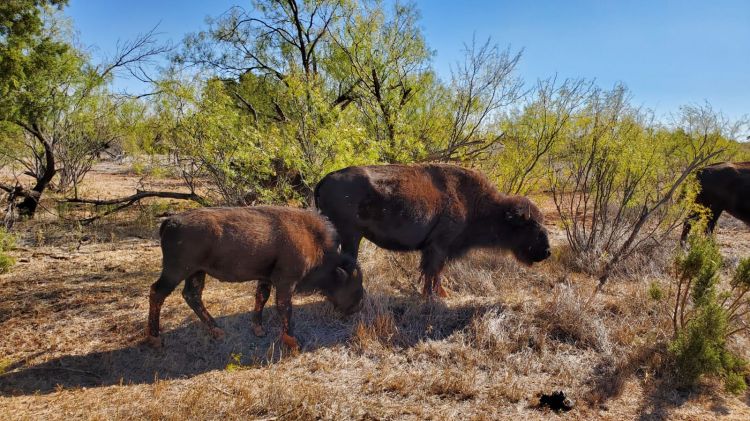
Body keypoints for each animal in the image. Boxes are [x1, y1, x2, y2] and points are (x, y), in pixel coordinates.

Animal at [146, 205, 364, 350]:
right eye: (353, 285)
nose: (357, 307)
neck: (315, 242)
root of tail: (170, 221)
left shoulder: (265, 278)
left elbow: (262, 298)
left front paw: (258, 329)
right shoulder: (286, 282)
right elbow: (284, 308)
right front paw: (293, 342)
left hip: (196, 272)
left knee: (192, 295)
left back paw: (217, 331)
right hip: (176, 271)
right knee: (157, 292)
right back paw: (155, 339)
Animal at [314, 162, 556, 296]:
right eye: (531, 225)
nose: (547, 252)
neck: (475, 203)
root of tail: (324, 179)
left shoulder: (437, 249)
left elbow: (435, 272)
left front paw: (437, 293)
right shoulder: (439, 246)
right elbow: (434, 271)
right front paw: (434, 295)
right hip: (350, 236)